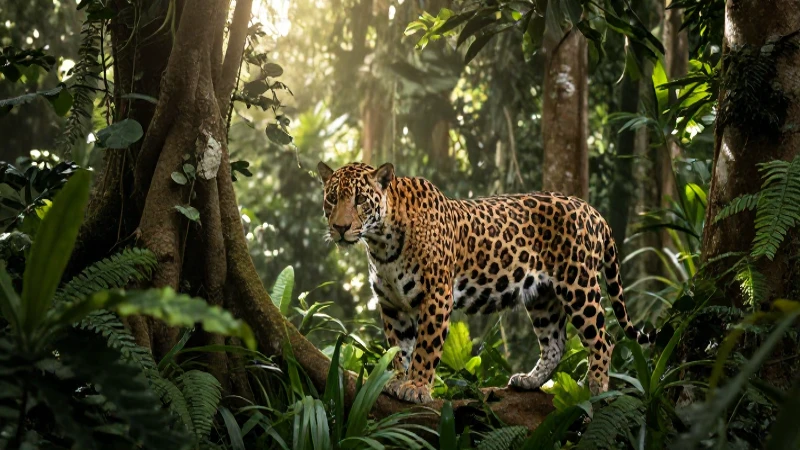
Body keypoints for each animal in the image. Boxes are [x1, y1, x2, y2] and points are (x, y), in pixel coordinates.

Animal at [317, 161, 654, 404]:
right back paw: (529, 381)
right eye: (332, 199)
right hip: (543, 297)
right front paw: (399, 380)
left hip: (578, 285)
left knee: (603, 339)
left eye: (360, 200)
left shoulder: (437, 296)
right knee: (555, 343)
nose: (340, 228)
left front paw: (417, 387)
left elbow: (425, 347)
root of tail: (594, 211)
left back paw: (596, 387)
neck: (381, 244)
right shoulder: (392, 305)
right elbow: (399, 349)